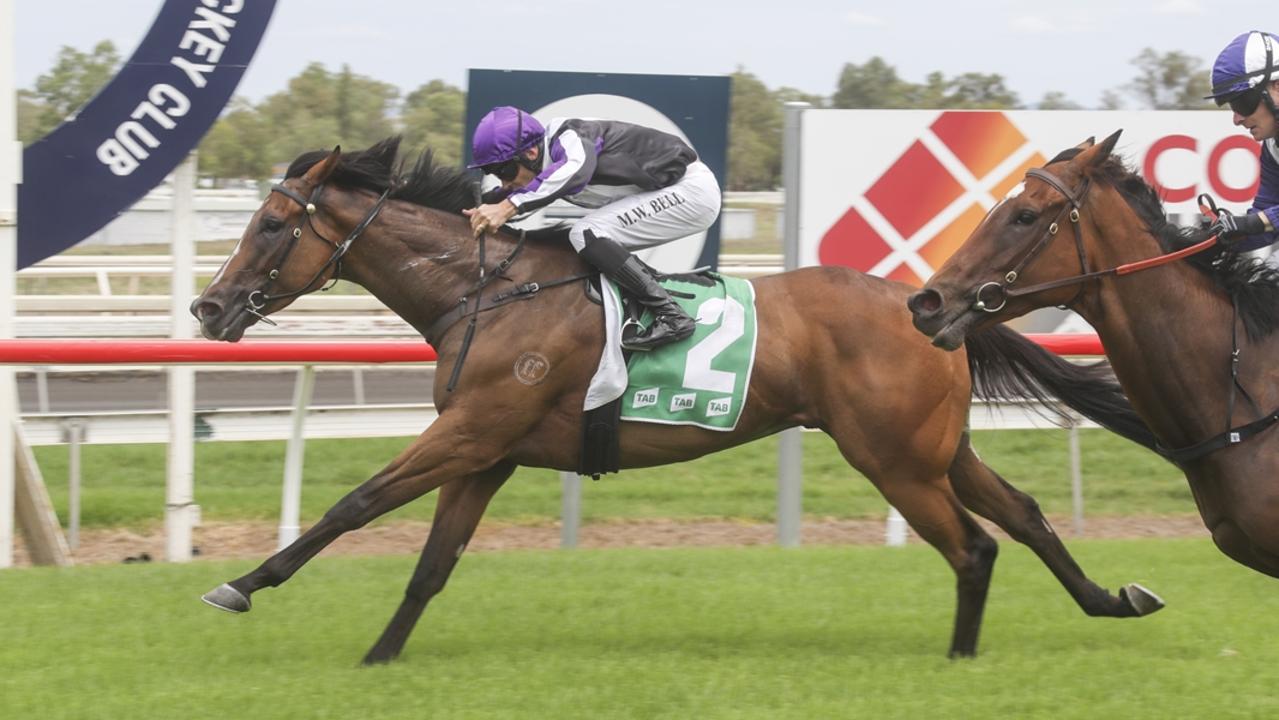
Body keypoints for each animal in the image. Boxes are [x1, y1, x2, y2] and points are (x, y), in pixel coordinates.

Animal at [194, 136, 1166, 665]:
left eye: (270, 227)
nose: (208, 307)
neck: (486, 290)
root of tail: (928, 303)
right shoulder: (488, 453)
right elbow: (432, 565)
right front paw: (380, 655)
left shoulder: (468, 432)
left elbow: (353, 505)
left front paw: (241, 585)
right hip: (934, 449)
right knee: (1023, 516)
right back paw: (1109, 600)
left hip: (892, 459)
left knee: (971, 547)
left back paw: (960, 659)